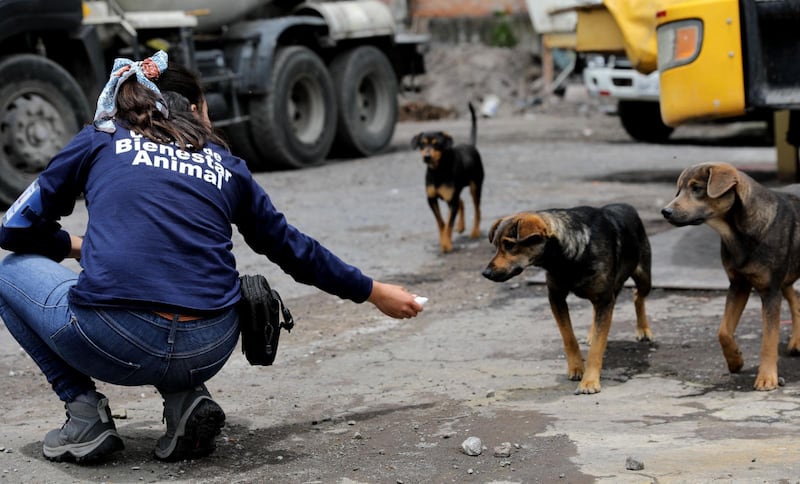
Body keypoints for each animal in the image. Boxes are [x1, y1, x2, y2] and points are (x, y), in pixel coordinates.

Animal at [412, 102, 482, 253]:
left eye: (436, 144)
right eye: (422, 144)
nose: (427, 157)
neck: (438, 170)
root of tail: (471, 145)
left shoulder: (451, 199)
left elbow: (449, 222)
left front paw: (446, 244)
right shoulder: (431, 199)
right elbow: (441, 222)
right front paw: (444, 238)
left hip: (475, 187)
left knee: (477, 210)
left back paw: (475, 232)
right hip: (454, 194)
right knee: (461, 202)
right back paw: (461, 226)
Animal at [478, 203, 652, 394]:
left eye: (509, 245)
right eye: (496, 245)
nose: (486, 273)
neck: (563, 259)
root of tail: (625, 205)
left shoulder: (604, 299)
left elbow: (597, 348)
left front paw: (589, 381)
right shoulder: (556, 297)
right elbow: (568, 336)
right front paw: (576, 367)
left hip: (644, 277)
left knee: (637, 296)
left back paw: (643, 329)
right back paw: (593, 333)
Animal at [660, 161, 800, 392]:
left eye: (697, 188)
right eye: (678, 190)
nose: (665, 212)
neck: (737, 232)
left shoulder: (770, 291)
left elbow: (769, 338)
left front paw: (766, 378)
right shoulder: (738, 284)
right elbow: (723, 331)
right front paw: (735, 360)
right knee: (795, 297)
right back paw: (796, 342)